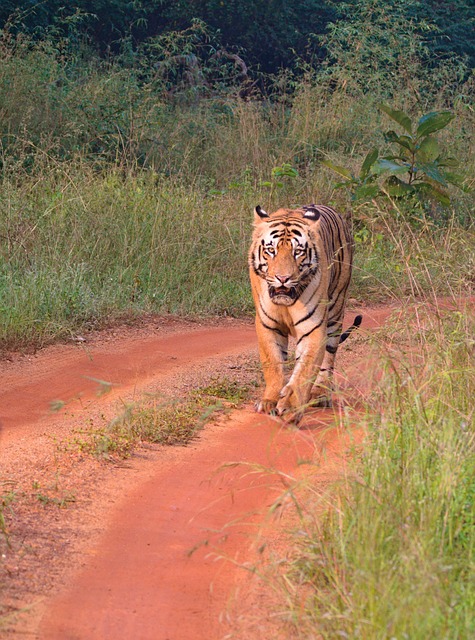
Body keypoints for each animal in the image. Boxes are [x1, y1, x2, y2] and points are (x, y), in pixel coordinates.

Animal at [249, 204, 360, 420]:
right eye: (271, 250)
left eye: (298, 252)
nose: (282, 278)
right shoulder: (267, 324)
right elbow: (273, 365)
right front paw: (269, 401)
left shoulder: (313, 328)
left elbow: (305, 371)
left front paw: (291, 406)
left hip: (336, 310)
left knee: (328, 359)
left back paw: (320, 394)